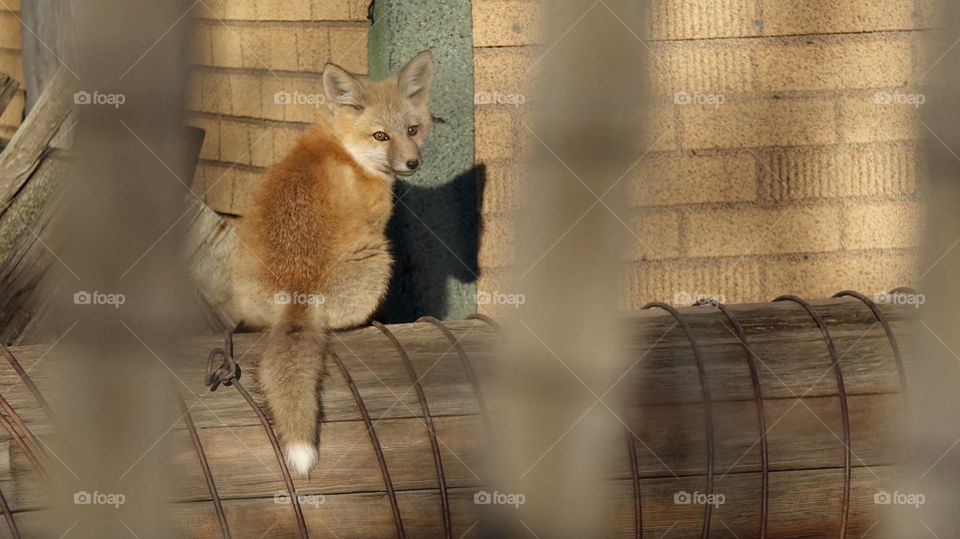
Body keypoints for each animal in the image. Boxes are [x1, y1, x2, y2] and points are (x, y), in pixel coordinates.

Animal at [227, 50, 435, 476]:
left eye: (413, 129)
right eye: (381, 136)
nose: (412, 163)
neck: (346, 149)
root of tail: (296, 291)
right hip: (379, 257)